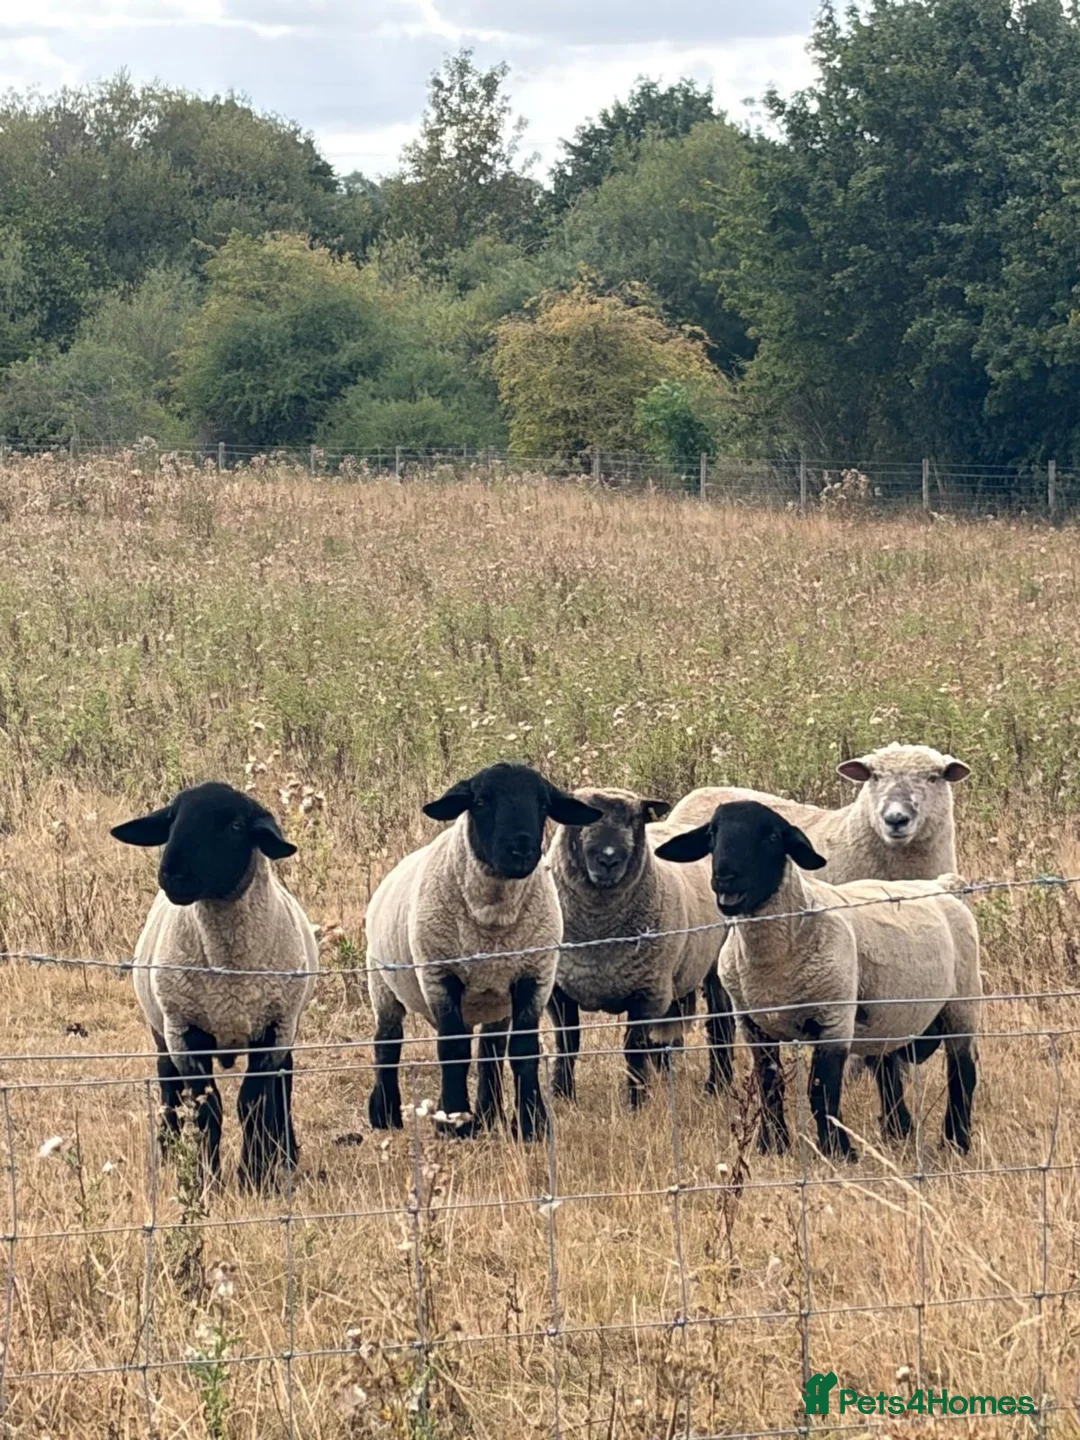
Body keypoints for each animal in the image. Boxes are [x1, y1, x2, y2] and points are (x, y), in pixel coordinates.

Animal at [111, 782, 318, 1190]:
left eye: (235, 826)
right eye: (172, 819)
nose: (172, 875)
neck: (230, 974)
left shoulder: (273, 1029)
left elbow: (253, 1103)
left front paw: (253, 1176)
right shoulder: (185, 1033)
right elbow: (209, 1107)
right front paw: (208, 1179)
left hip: (287, 1024)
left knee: (283, 1082)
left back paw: (285, 1152)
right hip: (161, 1028)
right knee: (167, 1083)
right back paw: (169, 1149)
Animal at [364, 762, 602, 1143]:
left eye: (543, 803)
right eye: (480, 801)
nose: (521, 850)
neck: (493, 924)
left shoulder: (533, 976)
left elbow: (523, 1052)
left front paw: (532, 1124)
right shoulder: (439, 974)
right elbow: (452, 1049)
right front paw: (454, 1122)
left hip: (494, 1001)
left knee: (489, 1053)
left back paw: (489, 1115)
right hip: (383, 985)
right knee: (387, 1043)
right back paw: (385, 1114)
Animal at [546, 789, 734, 1105]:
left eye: (636, 819)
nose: (608, 859)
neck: (598, 933)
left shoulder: (646, 994)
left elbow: (634, 1048)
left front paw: (636, 1100)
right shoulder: (559, 991)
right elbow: (567, 1043)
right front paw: (562, 1094)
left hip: (715, 961)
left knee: (721, 1025)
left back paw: (717, 1085)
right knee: (668, 1033)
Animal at [656, 800, 980, 1161]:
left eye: (771, 836)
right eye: (713, 834)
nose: (724, 878)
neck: (771, 962)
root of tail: (942, 885)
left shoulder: (832, 1020)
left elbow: (822, 1091)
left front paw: (838, 1152)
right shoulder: (754, 1025)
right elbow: (770, 1087)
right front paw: (773, 1147)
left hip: (961, 1003)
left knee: (962, 1072)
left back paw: (956, 1142)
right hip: (887, 1014)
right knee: (887, 1067)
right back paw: (898, 1129)